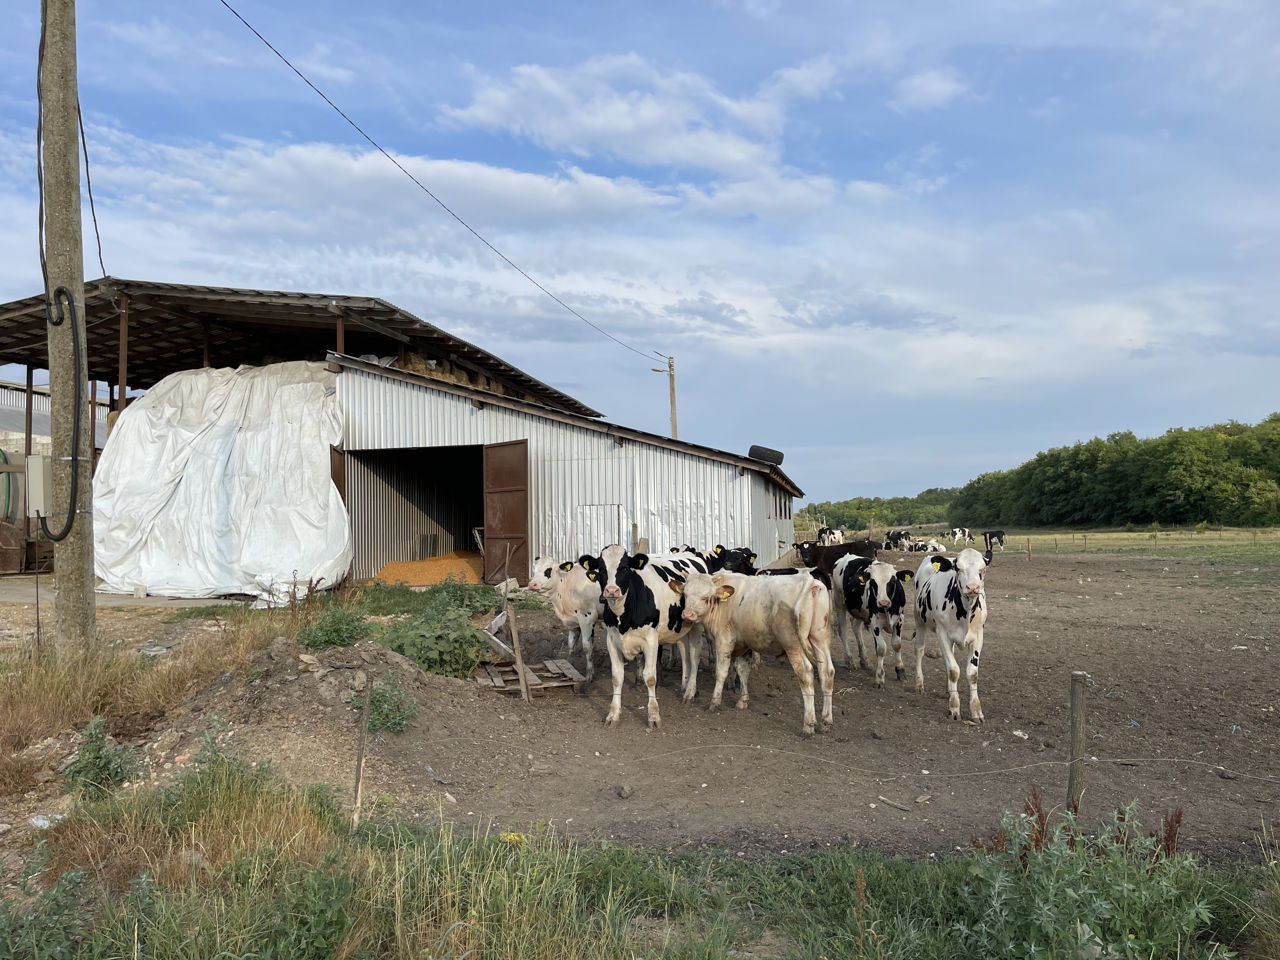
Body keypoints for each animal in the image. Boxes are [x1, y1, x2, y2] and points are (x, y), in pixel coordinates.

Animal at [581, 547, 711, 727]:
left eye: (625, 568)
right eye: (601, 569)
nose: (611, 591)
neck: (623, 617)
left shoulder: (651, 641)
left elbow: (650, 677)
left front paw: (654, 716)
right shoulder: (612, 640)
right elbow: (616, 677)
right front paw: (613, 714)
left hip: (696, 623)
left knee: (694, 656)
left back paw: (691, 692)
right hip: (680, 627)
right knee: (685, 653)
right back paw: (685, 686)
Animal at [675, 570, 834, 737]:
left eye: (705, 597)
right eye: (685, 594)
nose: (687, 615)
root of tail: (809, 581)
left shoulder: (724, 640)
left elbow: (721, 673)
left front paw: (714, 702)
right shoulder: (744, 644)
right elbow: (743, 670)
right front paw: (743, 701)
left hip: (794, 645)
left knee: (806, 675)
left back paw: (808, 724)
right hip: (820, 639)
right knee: (827, 673)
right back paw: (826, 721)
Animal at [834, 552, 916, 686]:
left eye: (892, 581)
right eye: (873, 582)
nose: (883, 602)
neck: (888, 610)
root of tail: (847, 556)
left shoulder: (900, 619)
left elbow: (897, 644)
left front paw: (900, 671)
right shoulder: (875, 622)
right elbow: (881, 648)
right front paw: (880, 677)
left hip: (860, 610)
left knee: (856, 627)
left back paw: (864, 660)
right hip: (839, 601)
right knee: (843, 631)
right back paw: (850, 660)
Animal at [916, 547, 993, 721]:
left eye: (983, 569)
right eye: (958, 569)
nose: (973, 587)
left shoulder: (979, 636)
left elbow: (972, 673)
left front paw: (976, 710)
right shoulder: (942, 634)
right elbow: (953, 670)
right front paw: (954, 707)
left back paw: (949, 690)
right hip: (919, 620)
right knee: (919, 650)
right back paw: (919, 684)